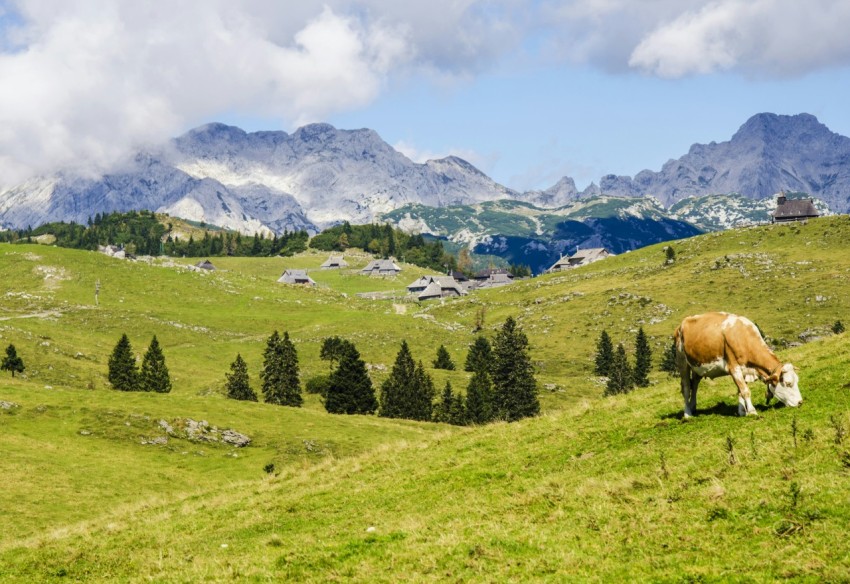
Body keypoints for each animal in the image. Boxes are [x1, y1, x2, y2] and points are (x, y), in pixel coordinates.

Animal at [672, 312, 800, 418]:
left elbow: (740, 391)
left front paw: (742, 411)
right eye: (788, 383)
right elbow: (745, 390)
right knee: (686, 388)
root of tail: (681, 324)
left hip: (697, 366)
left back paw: (693, 407)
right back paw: (687, 414)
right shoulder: (734, 368)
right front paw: (752, 411)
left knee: (695, 385)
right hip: (682, 362)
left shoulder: (745, 370)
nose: (800, 402)